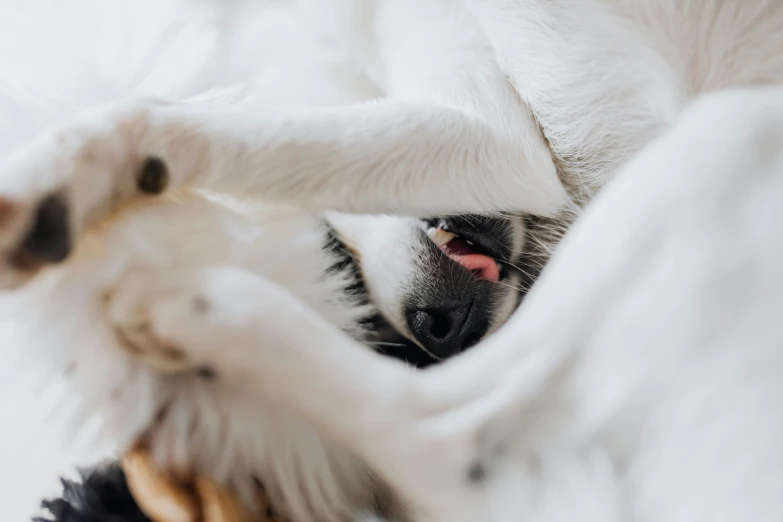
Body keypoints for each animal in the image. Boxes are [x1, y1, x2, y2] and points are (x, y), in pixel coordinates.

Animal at [4, 1, 783, 520]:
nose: (441, 330)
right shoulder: (493, 137)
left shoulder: (491, 133)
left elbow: (220, 121)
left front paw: (63, 167)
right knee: (448, 449)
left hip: (730, 131)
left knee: (438, 434)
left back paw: (193, 307)